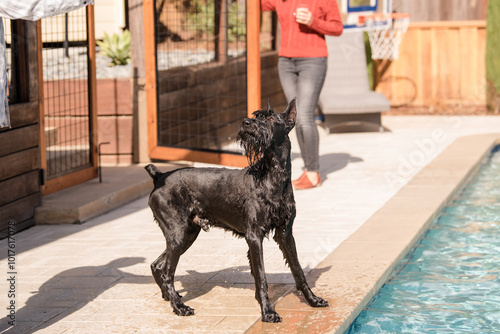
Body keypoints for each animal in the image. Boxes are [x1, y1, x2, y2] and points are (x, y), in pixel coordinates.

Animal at [145, 98, 328, 320]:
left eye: (270, 118)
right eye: (256, 115)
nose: (245, 122)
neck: (272, 175)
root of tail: (159, 176)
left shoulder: (285, 233)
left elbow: (298, 270)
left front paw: (313, 300)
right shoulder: (254, 236)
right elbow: (261, 277)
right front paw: (268, 312)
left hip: (187, 234)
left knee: (158, 265)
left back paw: (170, 298)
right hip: (177, 235)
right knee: (166, 272)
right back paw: (180, 307)